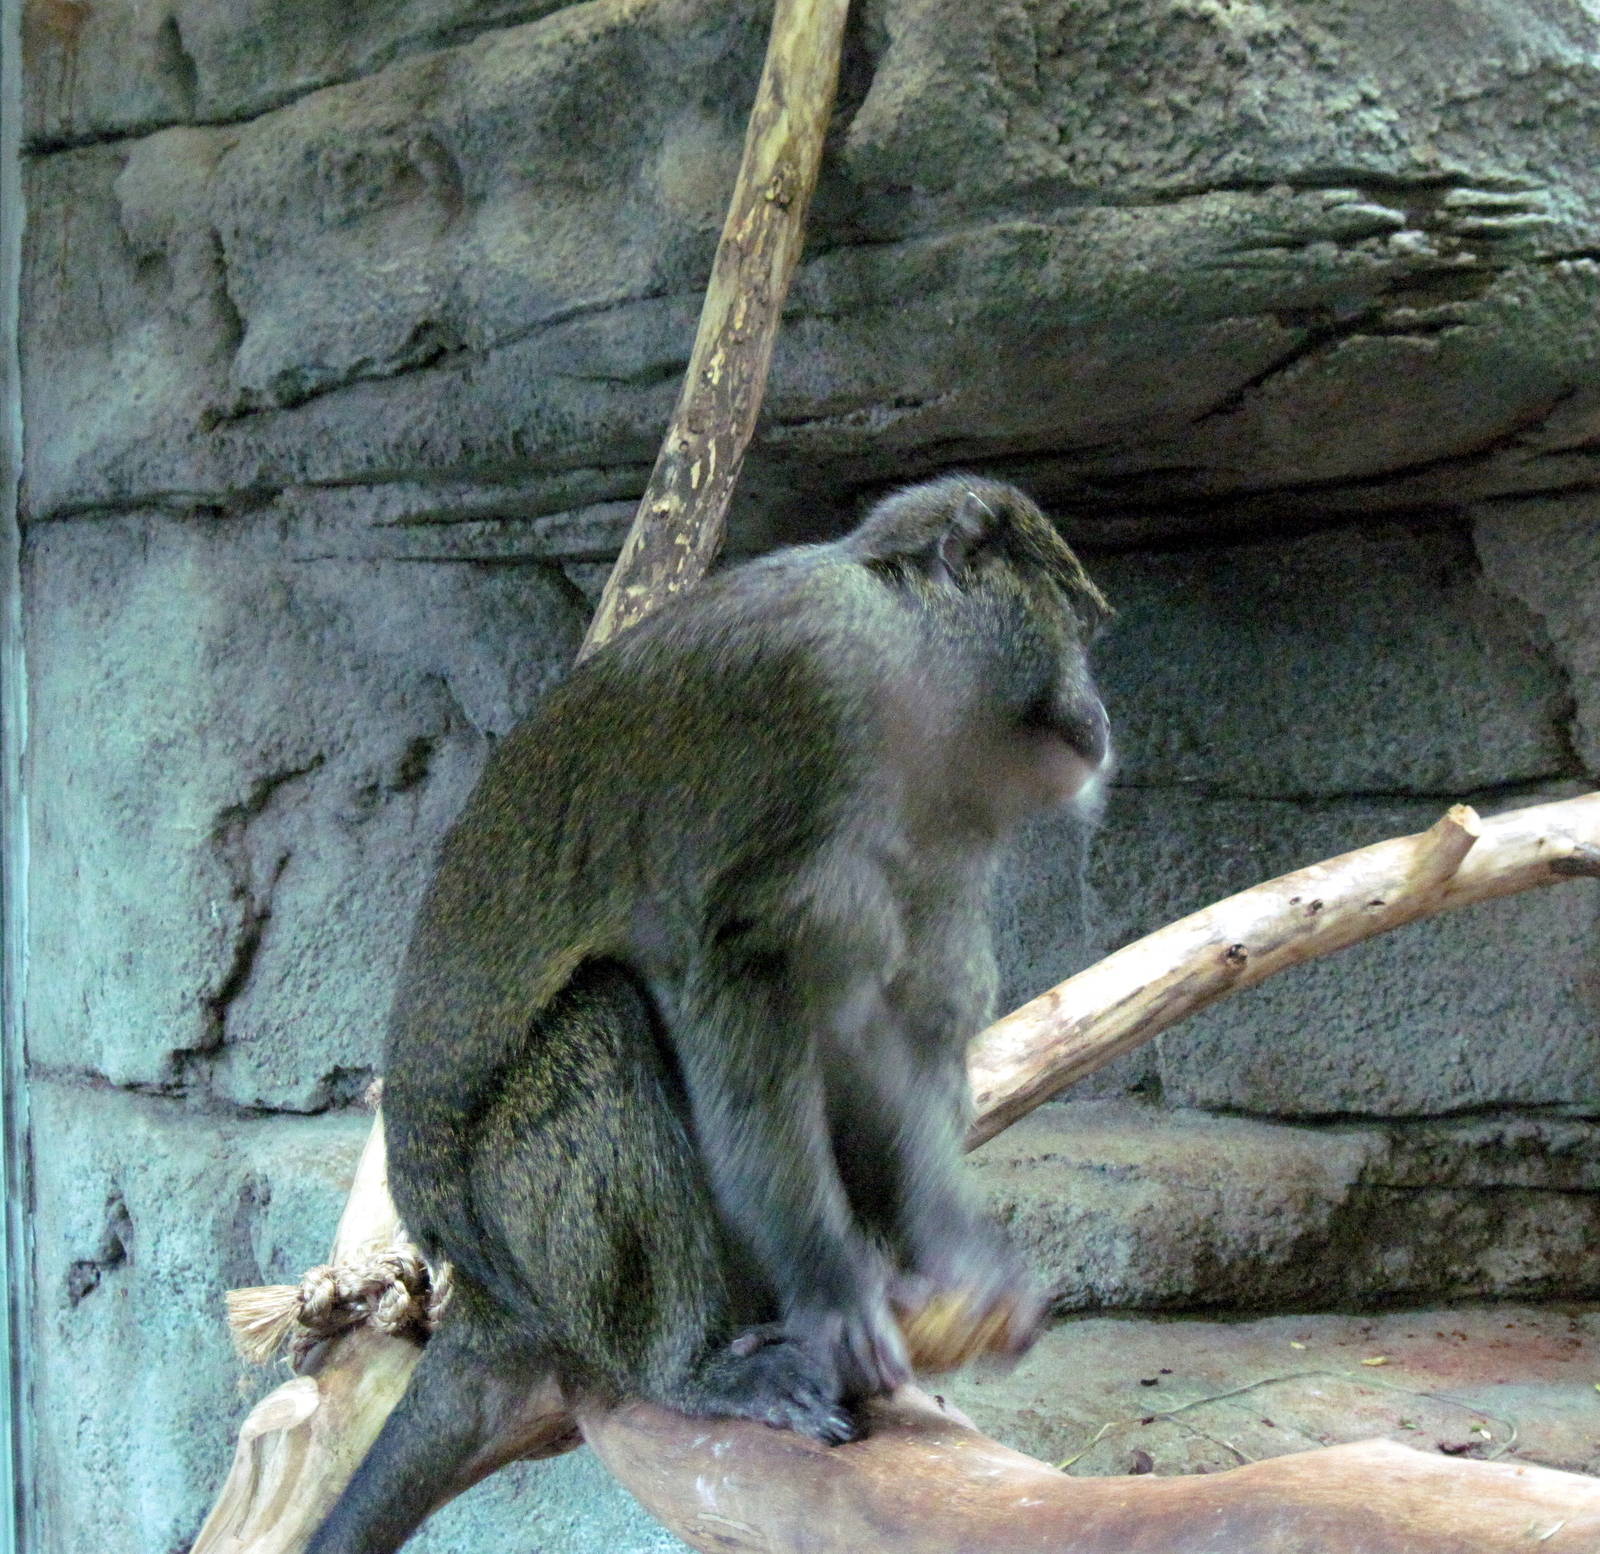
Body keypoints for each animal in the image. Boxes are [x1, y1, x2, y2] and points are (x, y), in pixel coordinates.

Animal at [305, 475, 1113, 1554]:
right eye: (1079, 630)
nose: (1099, 709)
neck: (905, 676)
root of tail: (482, 1298)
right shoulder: (801, 695)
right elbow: (730, 986)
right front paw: (836, 1295)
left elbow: (880, 1033)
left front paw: (962, 1260)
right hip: (533, 1249)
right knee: (601, 1018)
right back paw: (691, 1367)